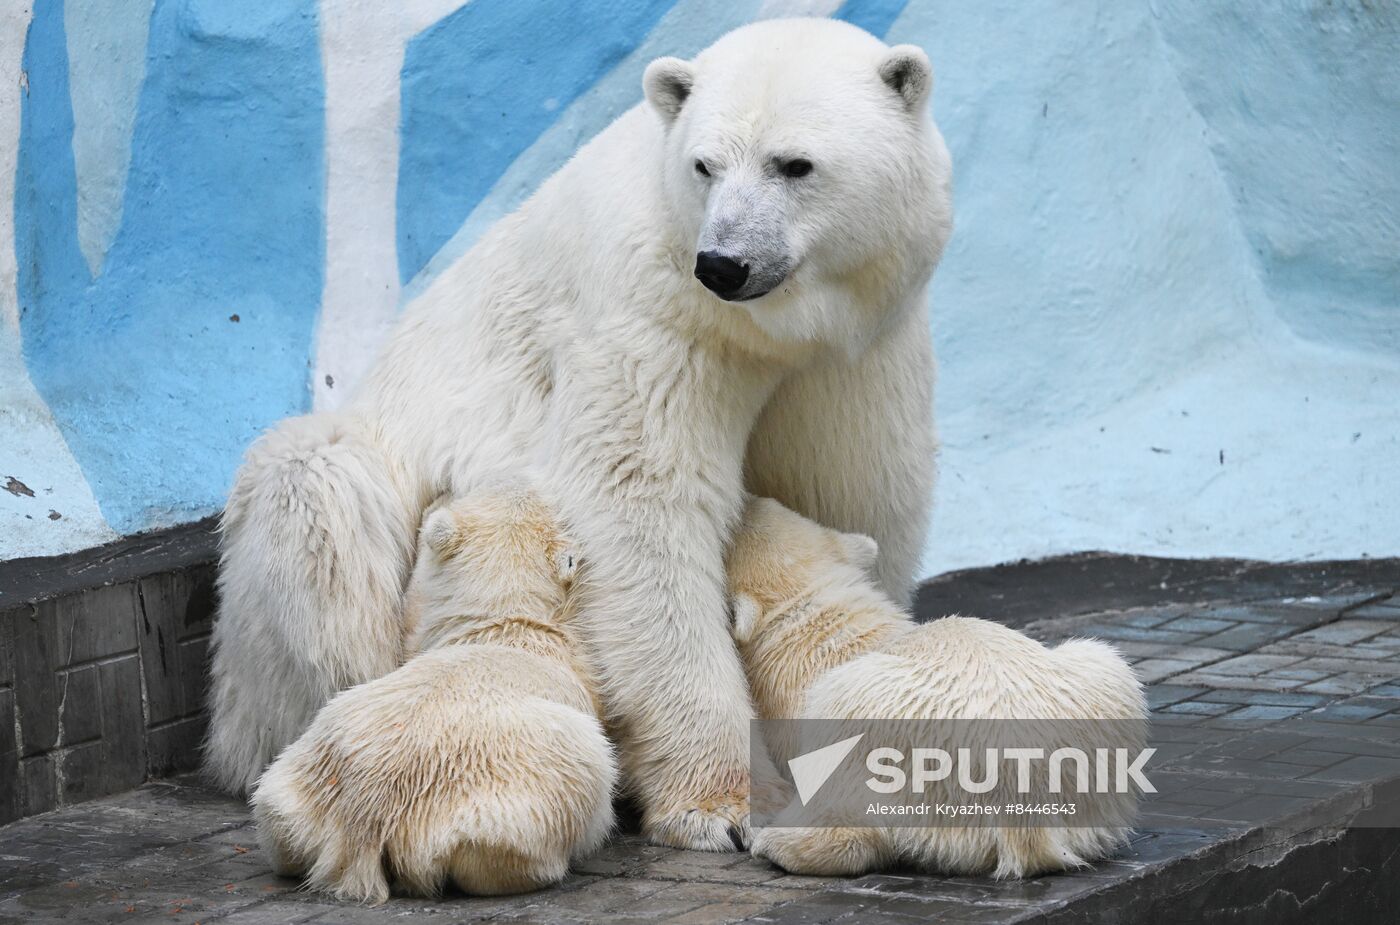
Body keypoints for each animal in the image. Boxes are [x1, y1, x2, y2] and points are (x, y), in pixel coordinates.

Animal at [207, 16, 952, 850]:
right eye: (705, 165)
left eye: (795, 164)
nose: (724, 263)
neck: (765, 329)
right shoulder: (652, 314)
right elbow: (638, 502)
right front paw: (719, 802)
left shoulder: (855, 346)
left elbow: (846, 488)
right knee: (317, 494)